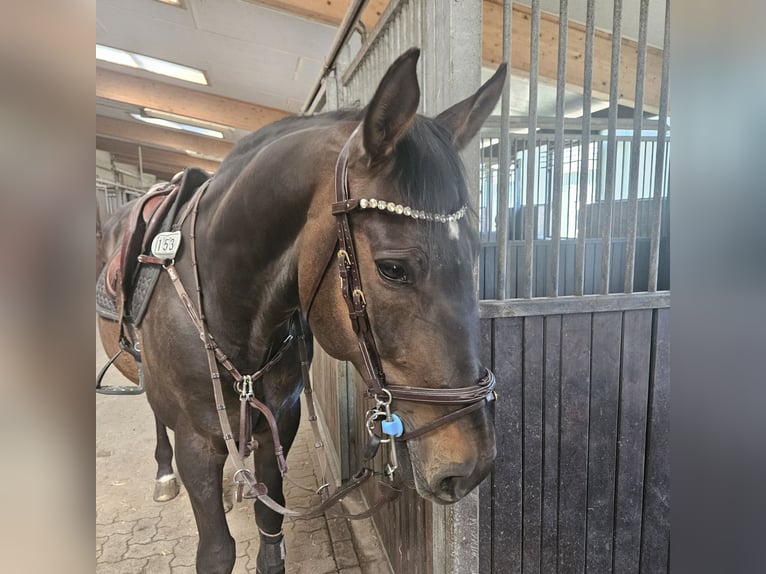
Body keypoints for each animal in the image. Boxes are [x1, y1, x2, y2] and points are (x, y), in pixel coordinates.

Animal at [97, 48, 507, 574]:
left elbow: (269, 526)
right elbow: (217, 550)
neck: (234, 316)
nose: (472, 466)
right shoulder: (196, 442)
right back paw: (164, 475)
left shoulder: (282, 419)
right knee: (155, 415)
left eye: (476, 252)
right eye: (393, 268)